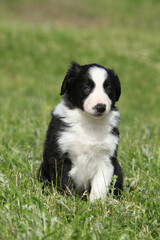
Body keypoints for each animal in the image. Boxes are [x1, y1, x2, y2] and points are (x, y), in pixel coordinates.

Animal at [37, 61, 122, 201]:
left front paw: (96, 203)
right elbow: (64, 181)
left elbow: (100, 185)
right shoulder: (59, 154)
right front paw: (69, 201)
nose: (101, 107)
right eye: (86, 88)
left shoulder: (106, 158)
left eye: (109, 89)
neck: (89, 122)